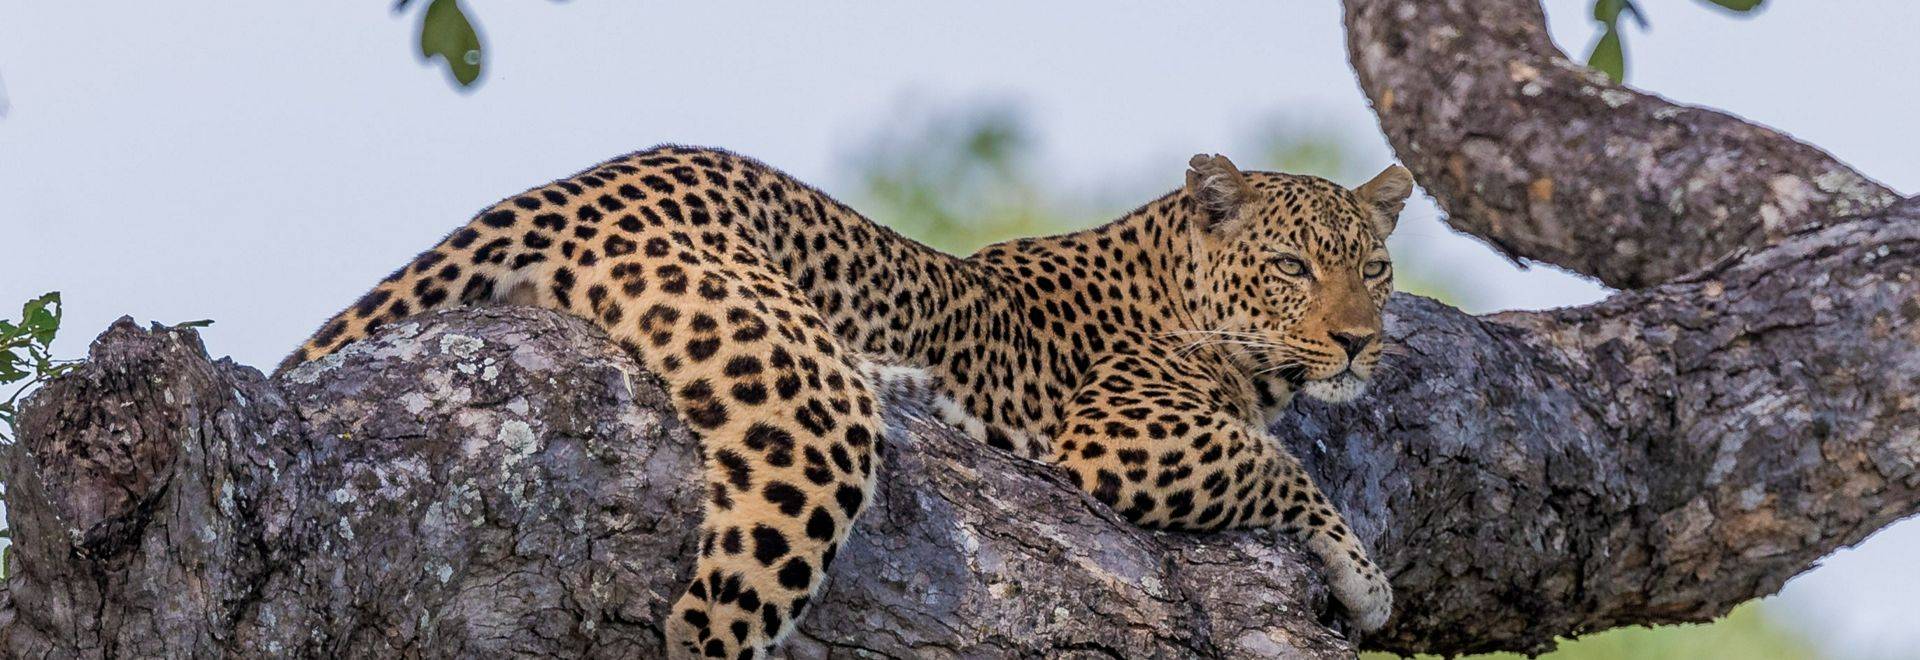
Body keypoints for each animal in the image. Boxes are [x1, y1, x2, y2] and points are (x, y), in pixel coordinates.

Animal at [280, 145, 1413, 658]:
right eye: (1291, 266)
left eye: (1375, 268)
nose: (1359, 339)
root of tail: (580, 182)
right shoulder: (1121, 434)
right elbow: (1281, 466)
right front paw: (1364, 580)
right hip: (806, 419)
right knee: (709, 620)